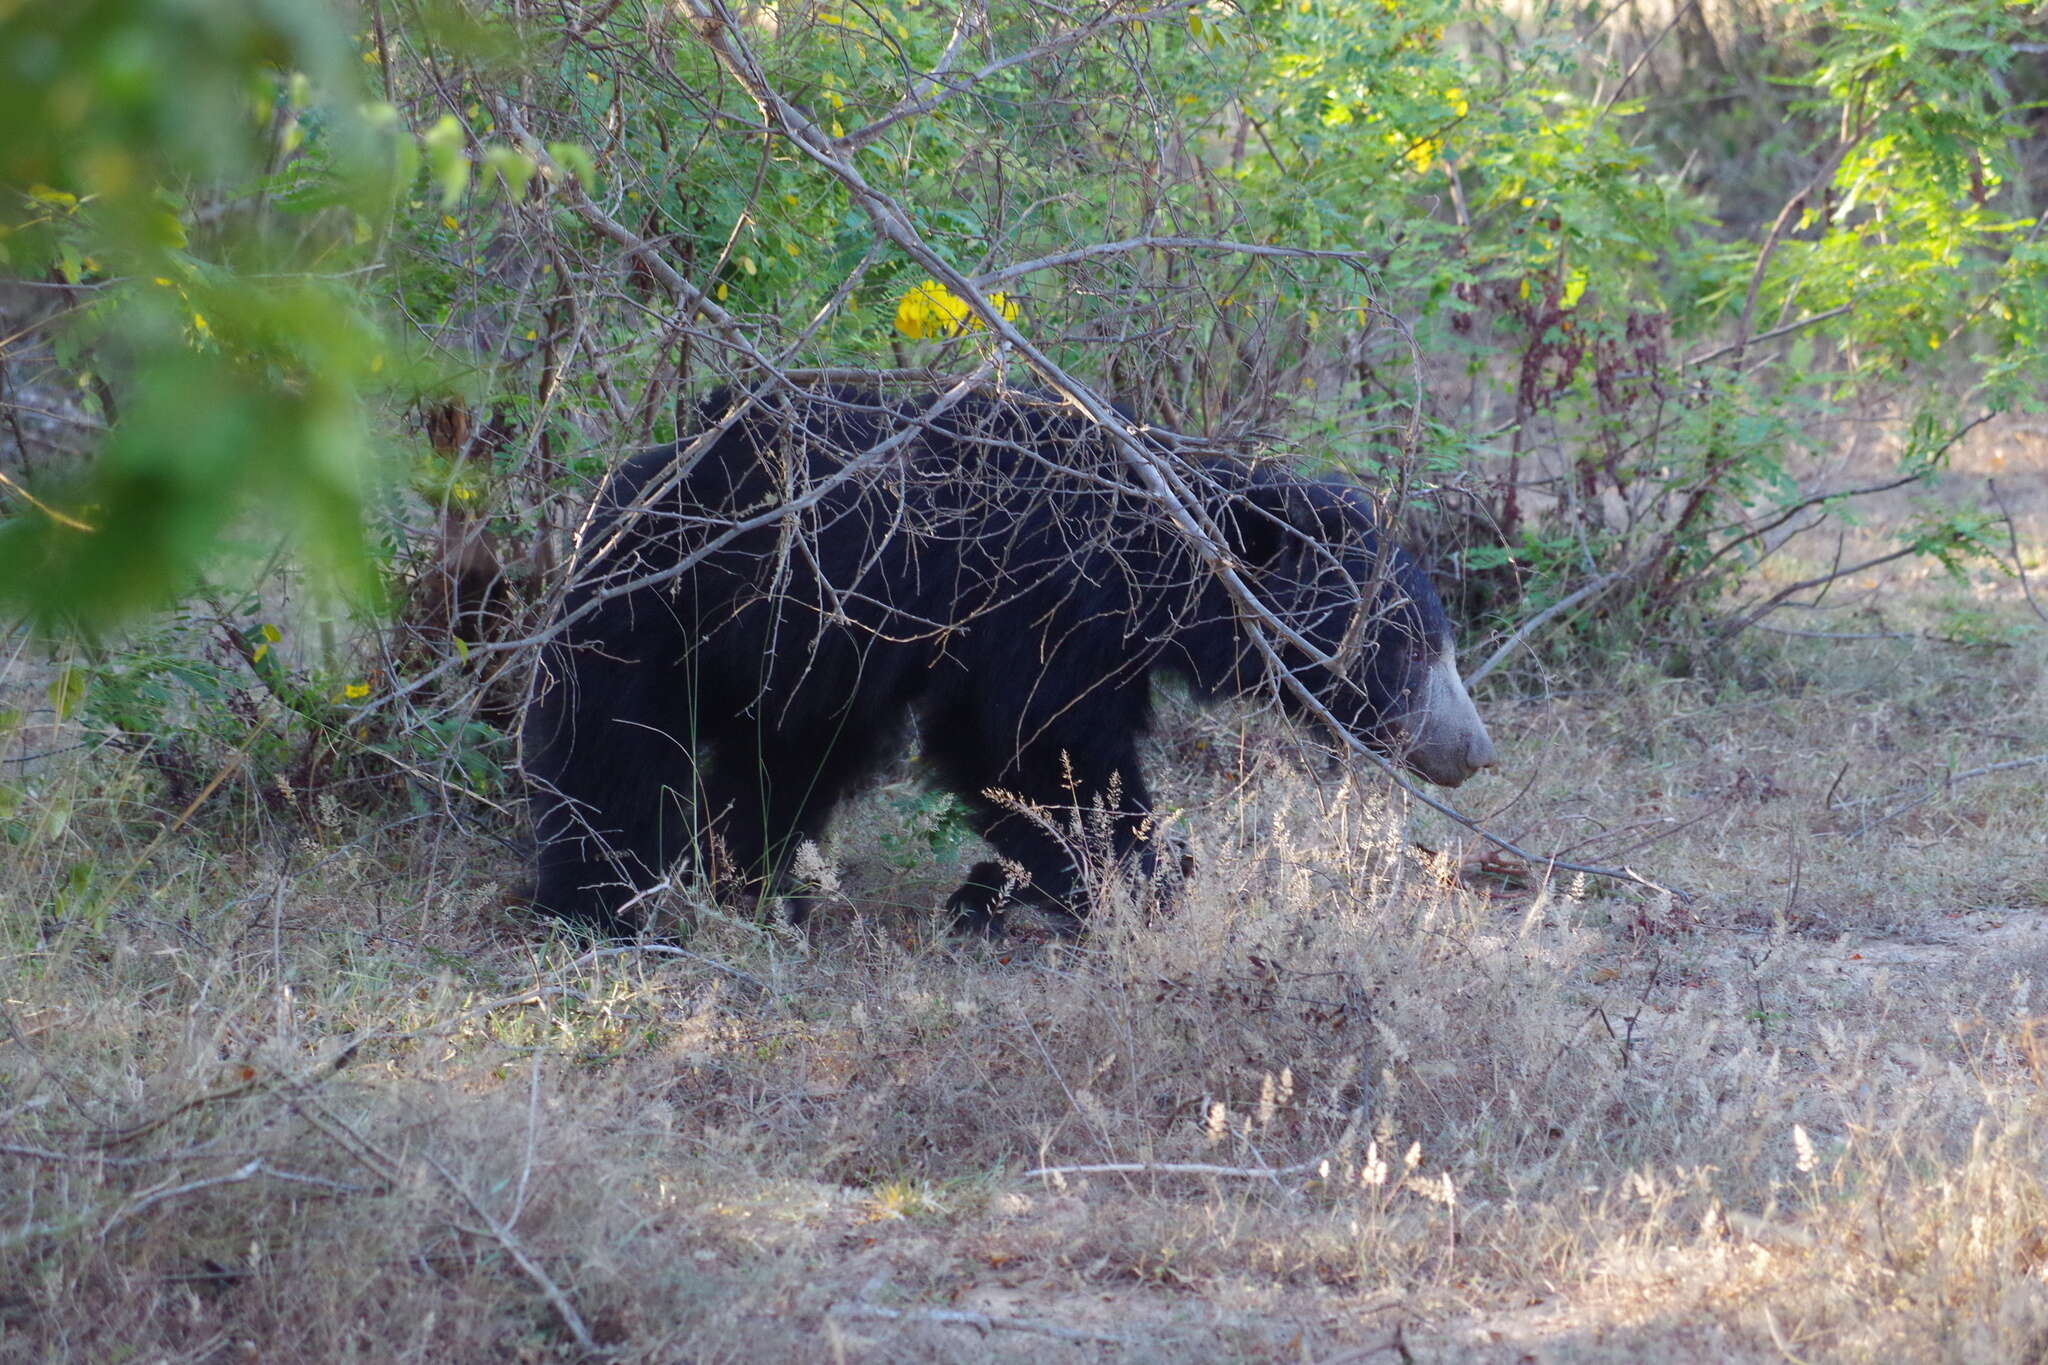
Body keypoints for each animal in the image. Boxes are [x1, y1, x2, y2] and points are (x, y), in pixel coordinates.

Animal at [520, 384, 1499, 941]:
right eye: (1409, 646)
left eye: (1438, 641)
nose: (1475, 750)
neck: (1161, 560)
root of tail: (622, 491)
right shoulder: (1045, 603)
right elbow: (1030, 744)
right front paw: (1143, 879)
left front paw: (1012, 892)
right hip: (660, 615)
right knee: (611, 757)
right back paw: (601, 906)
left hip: (795, 663)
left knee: (781, 764)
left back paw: (753, 888)